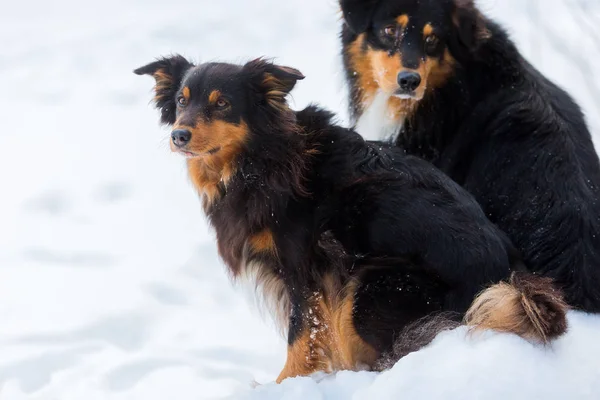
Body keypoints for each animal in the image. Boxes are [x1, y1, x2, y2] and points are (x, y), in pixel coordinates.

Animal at [135, 56, 568, 382]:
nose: (178, 135)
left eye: (222, 103)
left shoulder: (304, 267)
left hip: (370, 286)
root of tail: (510, 278)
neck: (259, 159)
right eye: (181, 102)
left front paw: (286, 384)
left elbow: (302, 333)